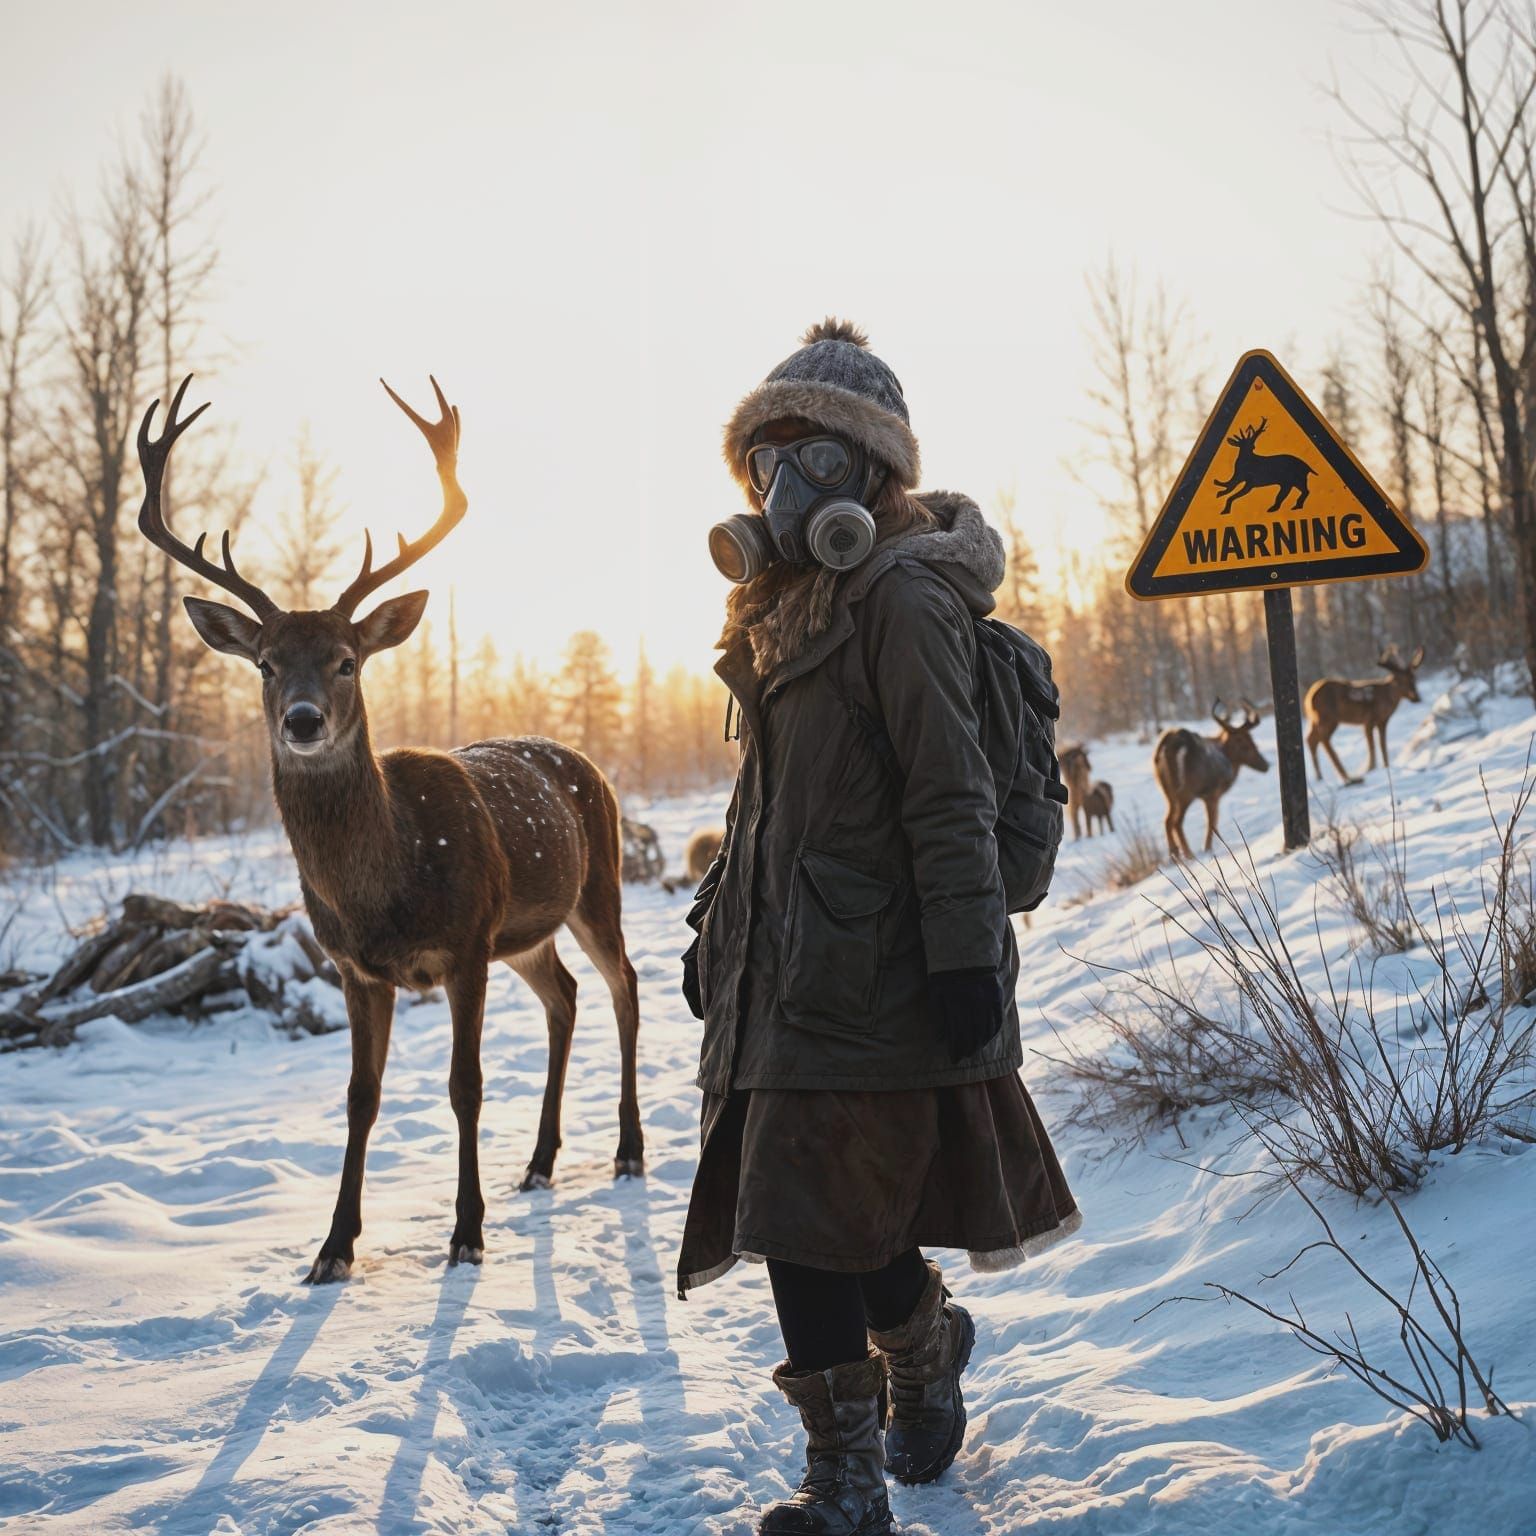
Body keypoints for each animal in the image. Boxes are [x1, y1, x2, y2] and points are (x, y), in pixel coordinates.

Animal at [136, 374, 642, 1284]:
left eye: (347, 660)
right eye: (265, 663)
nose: (302, 720)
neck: (389, 885)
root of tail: (586, 762)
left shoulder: (467, 943)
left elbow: (464, 1085)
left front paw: (466, 1234)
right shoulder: (354, 967)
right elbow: (359, 1098)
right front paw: (332, 1248)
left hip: (598, 887)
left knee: (626, 987)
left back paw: (627, 1151)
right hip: (529, 932)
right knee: (566, 997)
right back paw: (539, 1163)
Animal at [1155, 700, 1271, 860]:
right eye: (1246, 743)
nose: (1266, 765)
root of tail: (1169, 743)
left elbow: (1213, 821)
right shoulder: (1213, 793)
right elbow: (1212, 822)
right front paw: (1208, 849)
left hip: (1167, 791)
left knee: (1167, 820)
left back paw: (1175, 854)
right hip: (1186, 791)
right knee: (1177, 822)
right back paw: (1189, 854)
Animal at [1308, 645, 1425, 786]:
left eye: (1414, 678)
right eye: (1400, 680)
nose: (1417, 697)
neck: (1387, 698)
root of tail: (1309, 698)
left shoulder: (1383, 721)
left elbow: (1382, 744)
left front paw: (1386, 766)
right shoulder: (1368, 720)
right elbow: (1372, 746)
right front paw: (1371, 769)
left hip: (1315, 720)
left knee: (1311, 739)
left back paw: (1320, 777)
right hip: (1327, 717)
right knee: (1323, 739)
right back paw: (1347, 777)